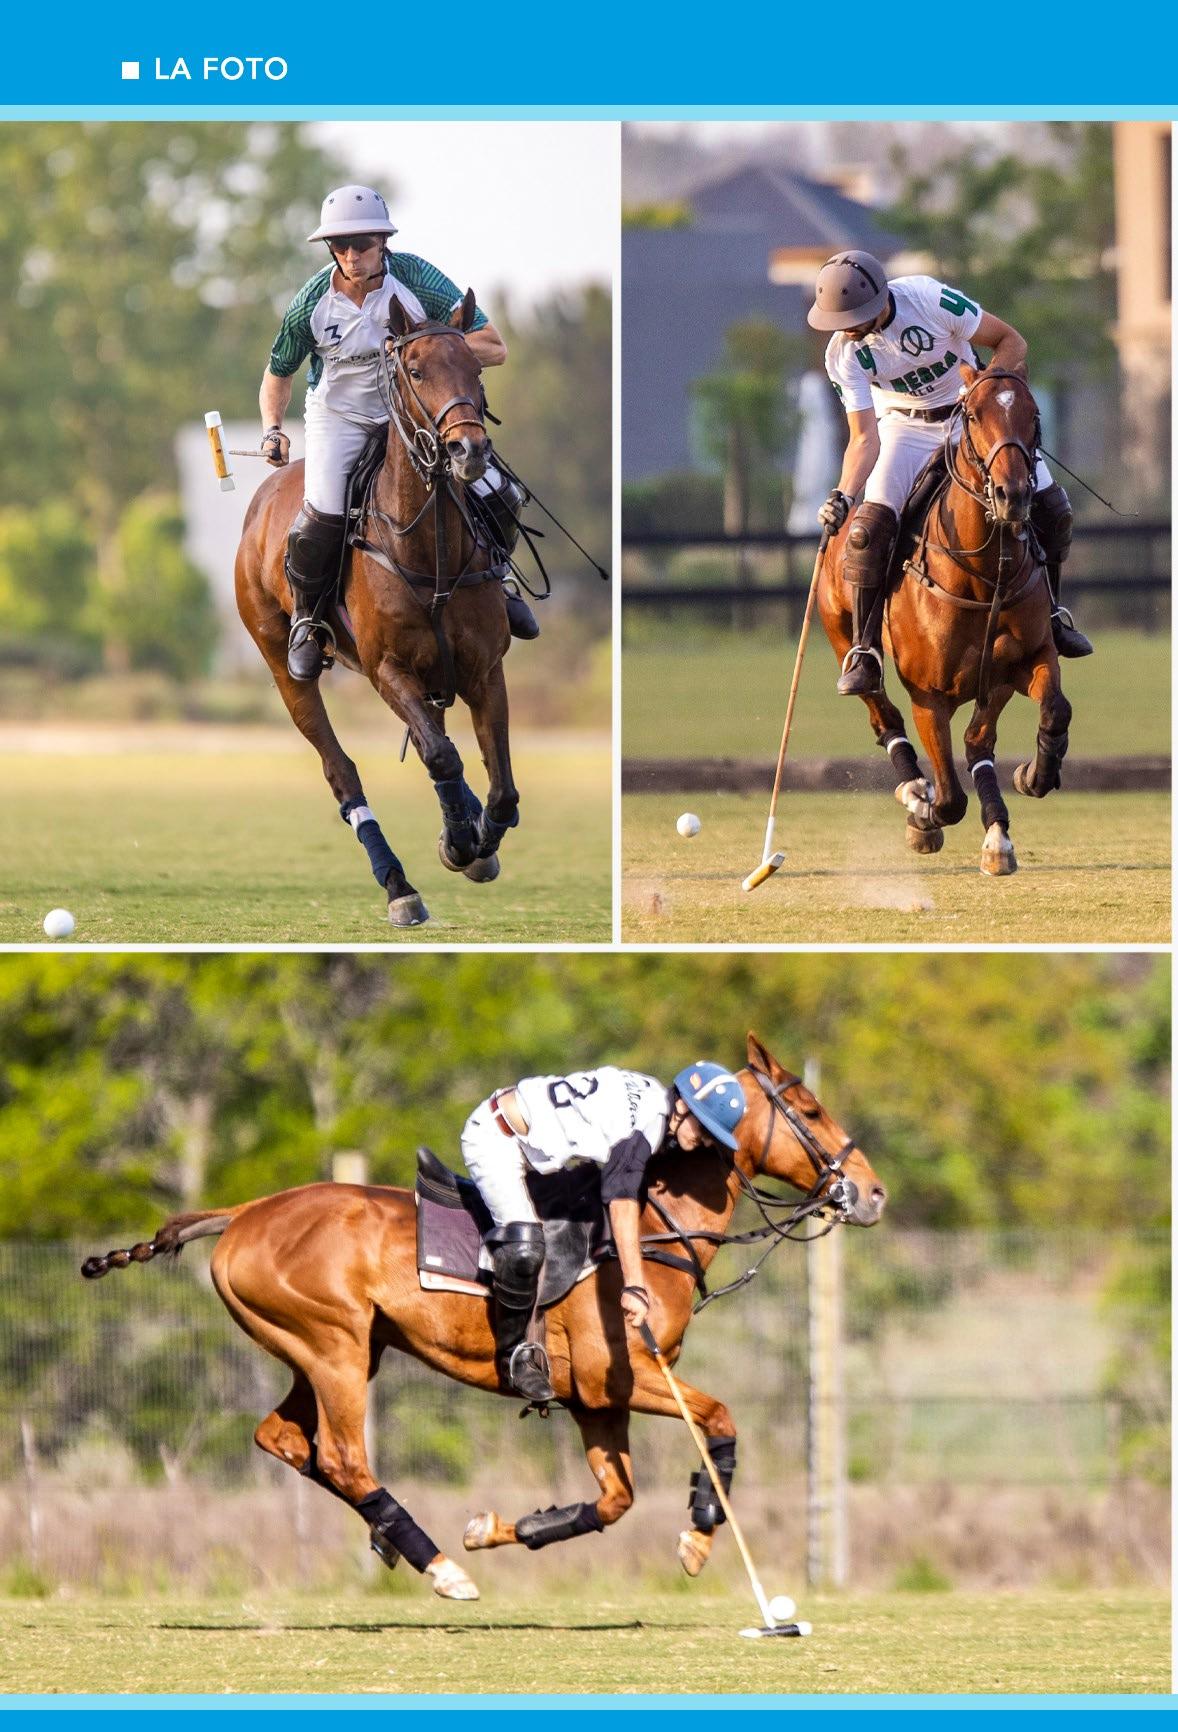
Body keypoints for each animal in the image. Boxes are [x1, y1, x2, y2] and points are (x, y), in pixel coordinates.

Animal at [81, 1033, 887, 1602]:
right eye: (810, 1111)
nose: (873, 1193)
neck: (659, 1227)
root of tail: (244, 1211)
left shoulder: (595, 1400)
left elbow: (616, 1499)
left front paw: (508, 1527)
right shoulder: (626, 1375)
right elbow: (718, 1418)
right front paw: (697, 1537)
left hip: (340, 1350)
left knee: (282, 1438)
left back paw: (391, 1539)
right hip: (332, 1345)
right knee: (341, 1456)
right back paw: (438, 1567)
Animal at [235, 291, 518, 929]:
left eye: (476, 368)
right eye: (415, 371)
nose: (468, 450)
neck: (430, 551)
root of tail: (264, 499)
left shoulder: (484, 668)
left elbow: (501, 788)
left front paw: (476, 840)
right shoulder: (387, 667)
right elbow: (441, 757)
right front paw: (460, 842)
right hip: (283, 663)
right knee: (342, 768)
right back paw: (398, 885)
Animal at [818, 366, 1072, 876]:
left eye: (1035, 413)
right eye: (973, 415)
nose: (1013, 495)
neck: (982, 577)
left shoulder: (1021, 663)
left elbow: (1050, 711)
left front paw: (1032, 778)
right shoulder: (928, 696)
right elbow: (951, 798)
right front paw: (924, 816)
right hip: (841, 635)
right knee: (882, 713)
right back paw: (914, 790)